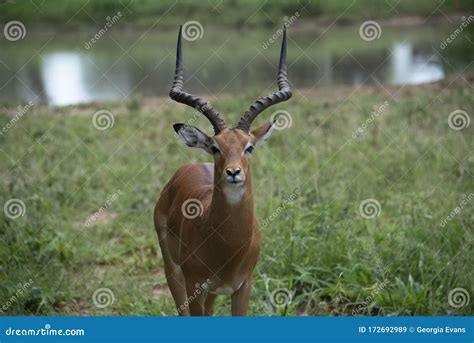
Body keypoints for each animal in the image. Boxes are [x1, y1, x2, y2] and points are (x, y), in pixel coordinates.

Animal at [154, 26, 290, 318]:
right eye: (216, 147)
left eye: (249, 147)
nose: (233, 172)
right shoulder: (195, 285)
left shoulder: (243, 286)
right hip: (173, 271)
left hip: (213, 292)